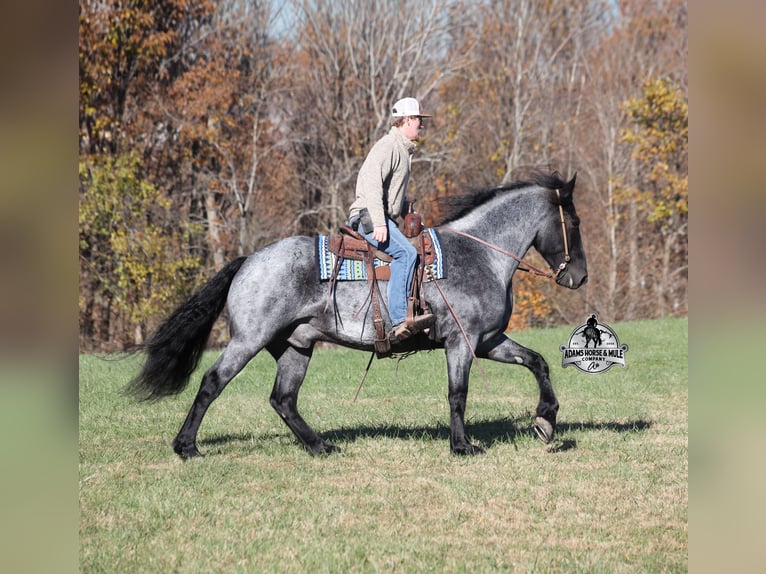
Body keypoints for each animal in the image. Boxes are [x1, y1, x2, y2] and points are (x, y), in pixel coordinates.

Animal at [129, 171, 588, 457]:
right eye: (575, 223)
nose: (579, 276)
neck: (481, 254)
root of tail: (248, 260)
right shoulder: (461, 342)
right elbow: (458, 393)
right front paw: (462, 446)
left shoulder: (487, 340)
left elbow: (538, 362)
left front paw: (545, 421)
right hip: (248, 340)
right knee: (213, 383)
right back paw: (187, 446)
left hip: (295, 346)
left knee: (283, 399)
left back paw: (319, 446)